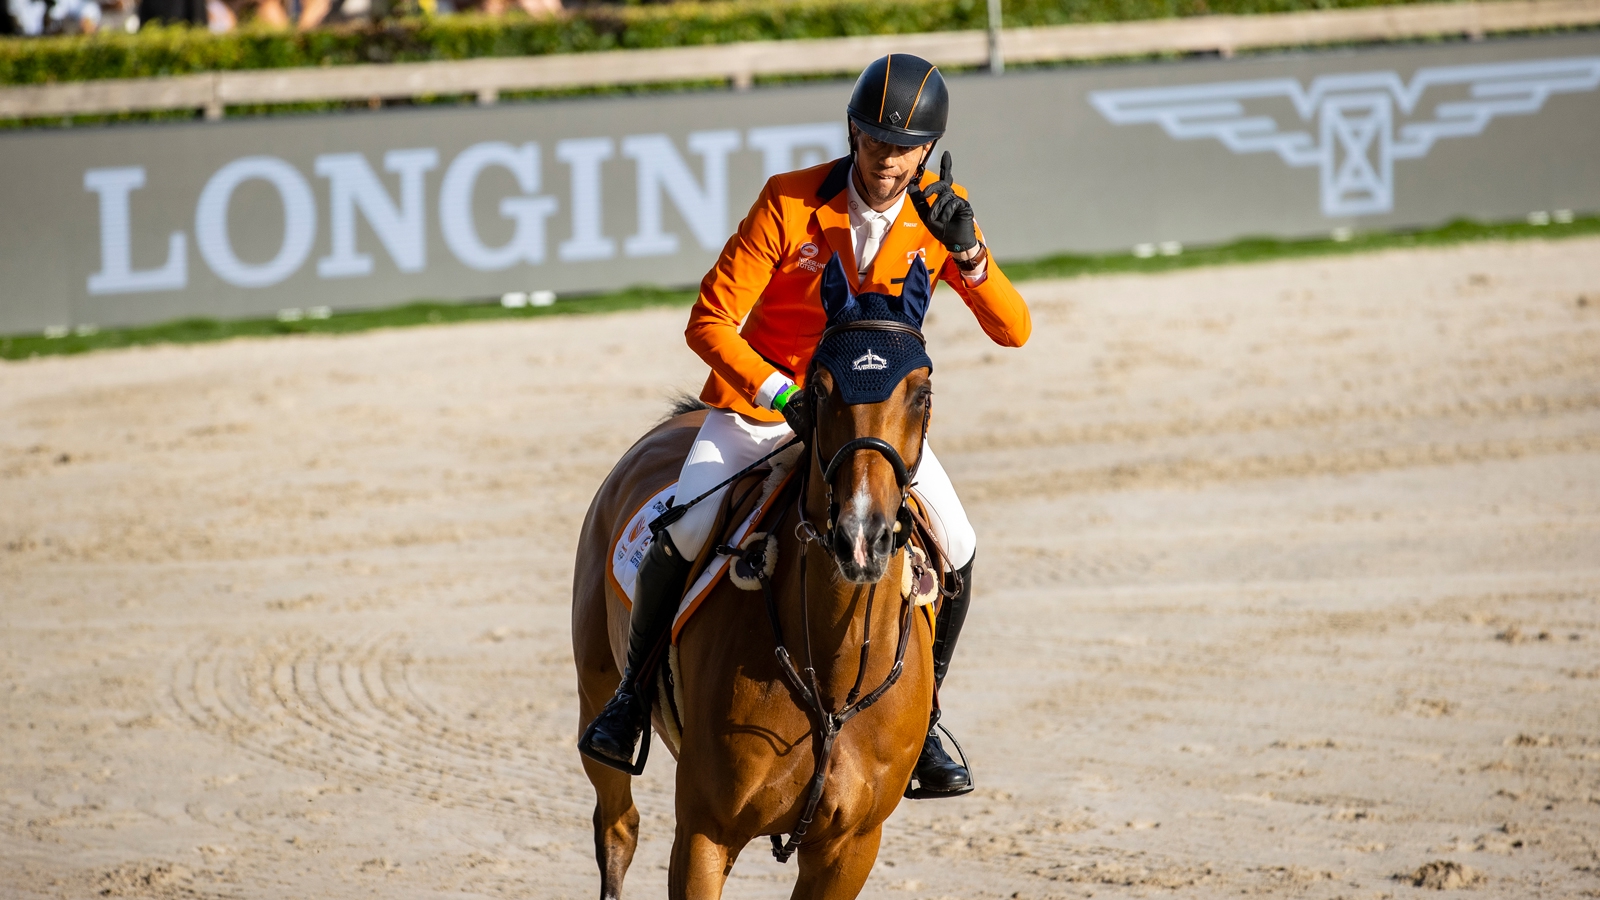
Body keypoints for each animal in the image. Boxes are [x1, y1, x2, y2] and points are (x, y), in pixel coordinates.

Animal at [572, 318, 934, 890]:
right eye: (819, 391)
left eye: (922, 396)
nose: (861, 536)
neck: (829, 670)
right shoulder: (705, 830)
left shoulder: (850, 847)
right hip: (595, 687)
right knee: (617, 827)